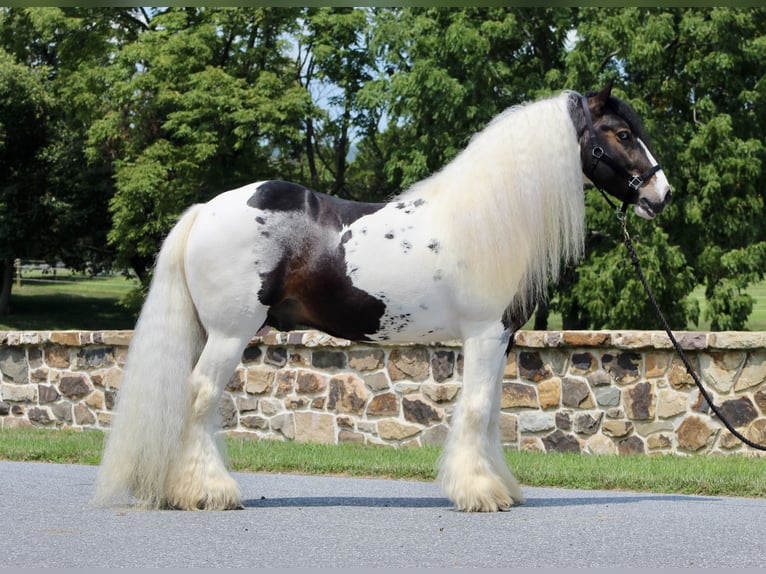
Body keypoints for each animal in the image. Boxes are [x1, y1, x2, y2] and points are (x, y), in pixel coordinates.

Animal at [94, 81, 672, 512]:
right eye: (622, 133)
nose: (660, 195)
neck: (486, 220)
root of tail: (204, 210)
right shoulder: (485, 335)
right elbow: (476, 408)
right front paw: (480, 493)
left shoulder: (501, 339)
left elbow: (488, 414)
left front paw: (500, 488)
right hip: (229, 333)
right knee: (201, 397)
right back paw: (210, 491)